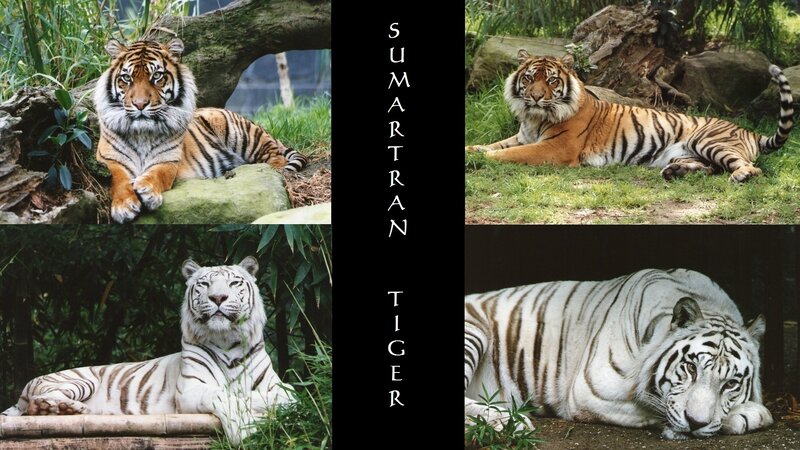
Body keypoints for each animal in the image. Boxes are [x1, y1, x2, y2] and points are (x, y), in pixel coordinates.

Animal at [1, 256, 295, 445]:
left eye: (234, 284)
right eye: (204, 285)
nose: (218, 298)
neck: (227, 341)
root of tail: (26, 388)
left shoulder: (278, 386)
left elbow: (281, 396)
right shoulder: (191, 390)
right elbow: (225, 395)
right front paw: (244, 430)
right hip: (80, 381)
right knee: (39, 402)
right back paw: (66, 408)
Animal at [93, 38, 308, 223]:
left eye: (157, 76)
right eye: (126, 78)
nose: (140, 104)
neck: (142, 133)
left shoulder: (167, 161)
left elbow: (157, 174)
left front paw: (146, 190)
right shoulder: (110, 161)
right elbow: (118, 181)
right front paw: (124, 206)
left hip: (240, 133)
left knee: (275, 156)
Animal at [465, 50, 794, 182]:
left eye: (551, 80)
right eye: (530, 77)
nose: (535, 96)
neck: (534, 117)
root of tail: (749, 132)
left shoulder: (555, 148)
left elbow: (508, 155)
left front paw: (480, 160)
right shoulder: (522, 136)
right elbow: (490, 146)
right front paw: (473, 151)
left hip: (709, 141)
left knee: (749, 167)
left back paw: (741, 176)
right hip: (687, 152)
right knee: (711, 168)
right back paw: (675, 173)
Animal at [465, 268, 773, 440]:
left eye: (730, 383)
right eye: (691, 368)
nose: (696, 423)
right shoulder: (592, 391)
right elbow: (655, 407)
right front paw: (750, 413)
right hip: (473, 330)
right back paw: (507, 423)